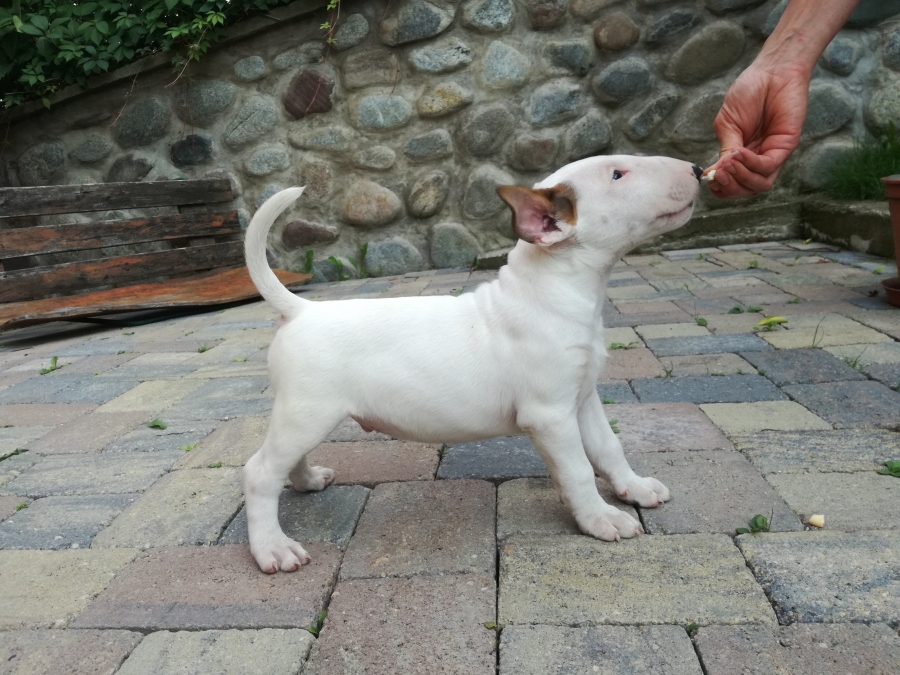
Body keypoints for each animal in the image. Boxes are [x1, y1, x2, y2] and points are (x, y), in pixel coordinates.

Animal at [243, 155, 703, 573]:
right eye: (617, 175)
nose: (698, 169)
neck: (552, 290)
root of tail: (302, 309)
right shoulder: (549, 415)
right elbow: (577, 470)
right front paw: (601, 518)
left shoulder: (583, 397)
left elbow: (609, 447)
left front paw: (635, 489)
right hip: (308, 411)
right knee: (260, 472)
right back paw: (273, 548)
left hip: (303, 414)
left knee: (285, 460)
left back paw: (308, 482)